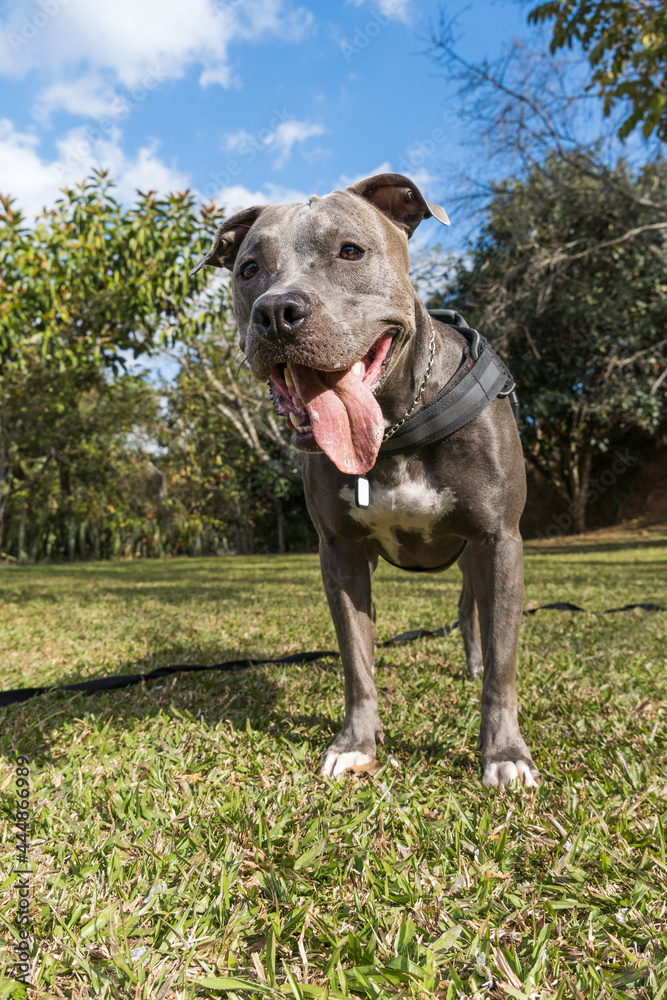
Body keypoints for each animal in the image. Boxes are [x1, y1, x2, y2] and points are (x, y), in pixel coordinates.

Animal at [190, 174, 540, 788]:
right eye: (249, 268)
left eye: (350, 251)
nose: (277, 311)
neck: (399, 425)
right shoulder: (341, 553)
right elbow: (357, 660)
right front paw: (356, 743)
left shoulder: (499, 540)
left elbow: (504, 664)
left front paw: (503, 753)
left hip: (478, 555)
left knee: (472, 613)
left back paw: (473, 666)